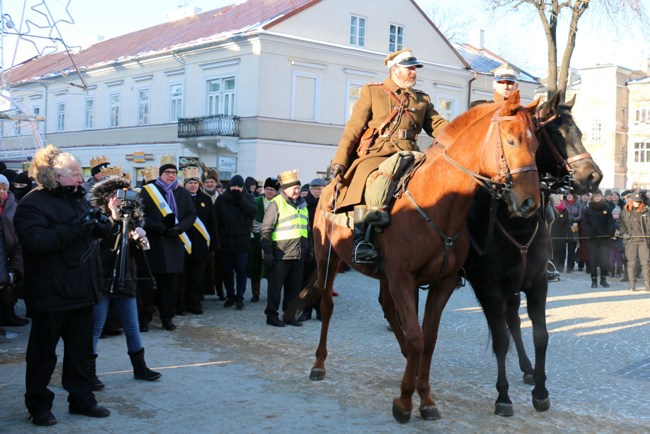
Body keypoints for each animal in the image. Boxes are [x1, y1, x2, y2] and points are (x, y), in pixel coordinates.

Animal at [306, 92, 540, 424]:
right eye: (511, 140)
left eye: (536, 145)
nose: (530, 202)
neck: (442, 205)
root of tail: (328, 187)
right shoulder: (403, 278)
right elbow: (417, 337)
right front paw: (405, 402)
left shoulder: (441, 283)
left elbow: (427, 339)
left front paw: (425, 397)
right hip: (327, 258)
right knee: (326, 306)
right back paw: (319, 364)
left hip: (381, 274)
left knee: (388, 309)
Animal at [464, 92, 600, 418]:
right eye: (556, 133)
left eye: (579, 132)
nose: (594, 176)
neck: (515, 220)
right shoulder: (489, 288)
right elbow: (500, 340)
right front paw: (503, 397)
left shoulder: (536, 283)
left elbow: (540, 335)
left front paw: (540, 390)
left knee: (514, 321)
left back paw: (526, 368)